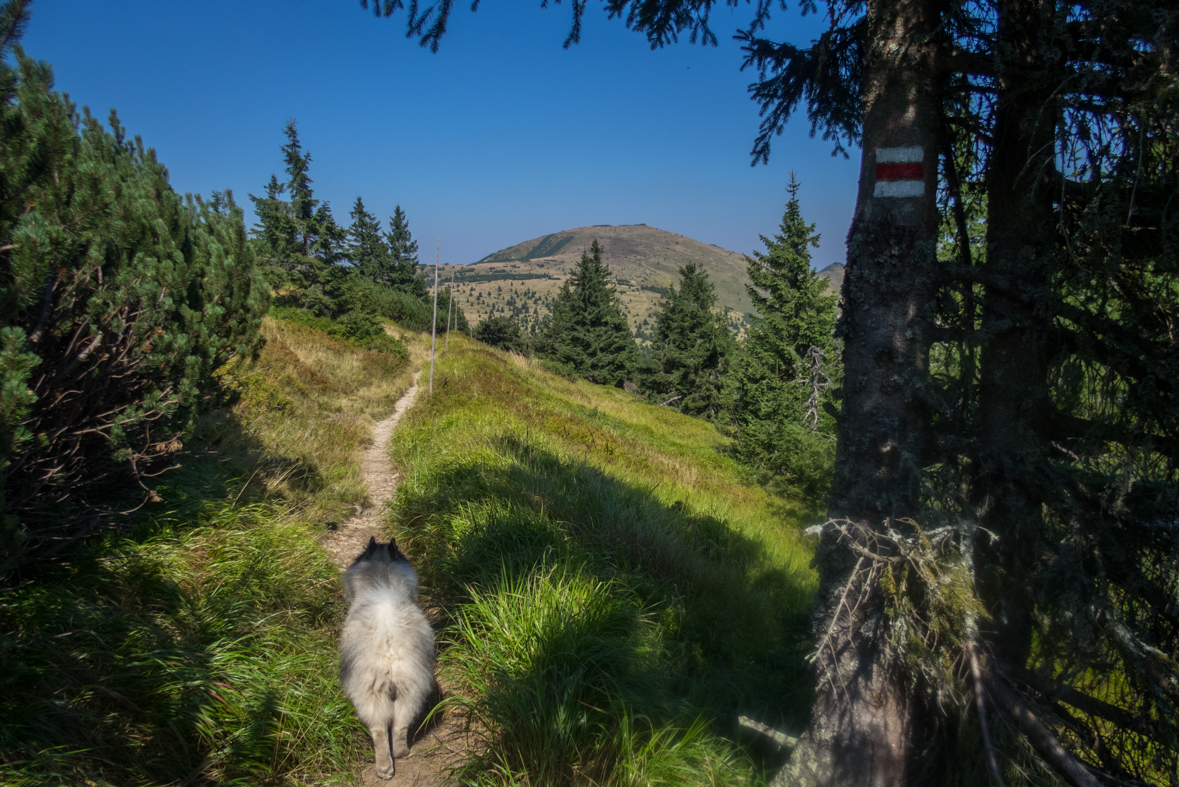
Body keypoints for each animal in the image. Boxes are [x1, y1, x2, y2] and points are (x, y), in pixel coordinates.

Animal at [339, 537, 436, 777]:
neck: (383, 579)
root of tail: (389, 647)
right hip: (411, 688)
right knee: (400, 726)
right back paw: (401, 754)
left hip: (370, 692)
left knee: (379, 731)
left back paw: (384, 768)